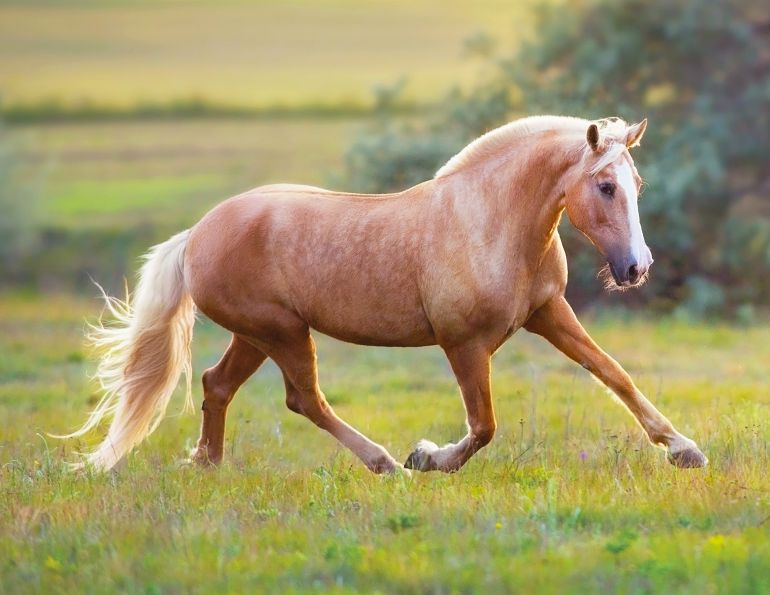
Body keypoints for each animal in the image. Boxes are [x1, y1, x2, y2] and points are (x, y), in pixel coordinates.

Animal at [59, 115, 708, 474]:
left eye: (636, 183)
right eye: (605, 186)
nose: (636, 267)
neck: (490, 220)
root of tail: (196, 234)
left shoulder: (549, 313)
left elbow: (614, 373)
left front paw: (683, 449)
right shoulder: (463, 344)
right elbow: (483, 426)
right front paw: (428, 458)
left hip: (257, 334)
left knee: (217, 385)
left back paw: (208, 465)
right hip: (281, 331)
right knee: (305, 400)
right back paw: (385, 463)